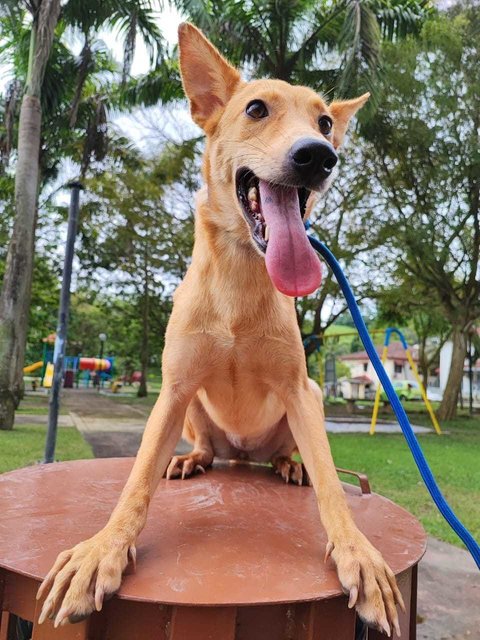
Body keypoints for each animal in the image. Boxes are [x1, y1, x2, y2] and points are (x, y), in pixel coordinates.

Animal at [37, 23, 404, 636]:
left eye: (325, 122)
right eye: (256, 109)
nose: (318, 156)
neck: (240, 271)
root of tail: (242, 455)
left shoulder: (299, 389)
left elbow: (334, 488)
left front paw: (358, 553)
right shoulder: (174, 387)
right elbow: (136, 482)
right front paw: (102, 550)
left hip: (311, 399)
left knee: (293, 454)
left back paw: (287, 464)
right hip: (195, 411)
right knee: (205, 448)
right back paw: (192, 459)